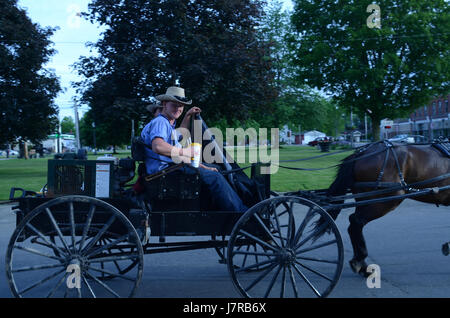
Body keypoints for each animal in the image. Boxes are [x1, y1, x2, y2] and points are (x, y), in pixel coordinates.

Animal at [324, 140, 450, 278]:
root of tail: (362, 153)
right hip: (388, 200)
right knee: (357, 221)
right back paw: (361, 262)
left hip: (367, 198)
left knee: (354, 223)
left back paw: (361, 263)